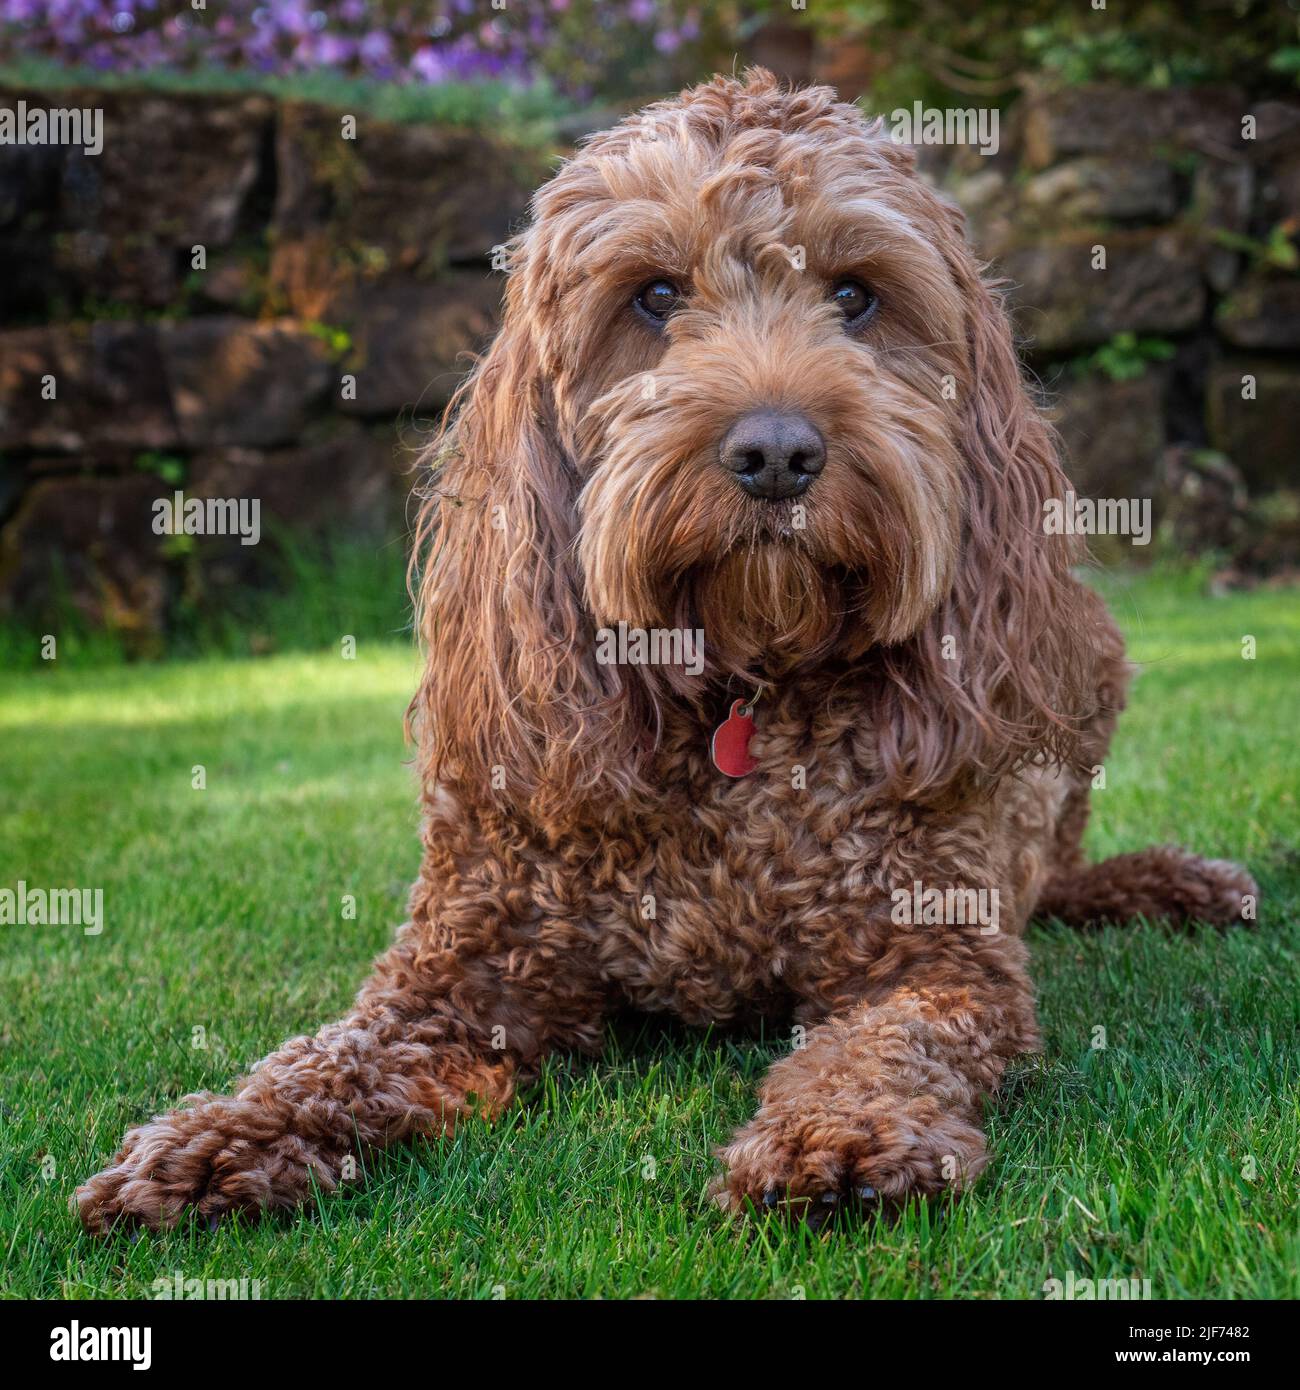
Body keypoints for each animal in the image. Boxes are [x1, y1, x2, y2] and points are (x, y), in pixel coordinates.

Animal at [76, 70, 1256, 1234]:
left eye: (855, 296)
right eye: (652, 296)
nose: (777, 452)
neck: (744, 686)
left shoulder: (935, 955)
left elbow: (890, 1041)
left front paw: (837, 1136)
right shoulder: (462, 965)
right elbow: (331, 1054)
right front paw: (217, 1134)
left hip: (1082, 682)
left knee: (1049, 867)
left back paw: (1163, 882)